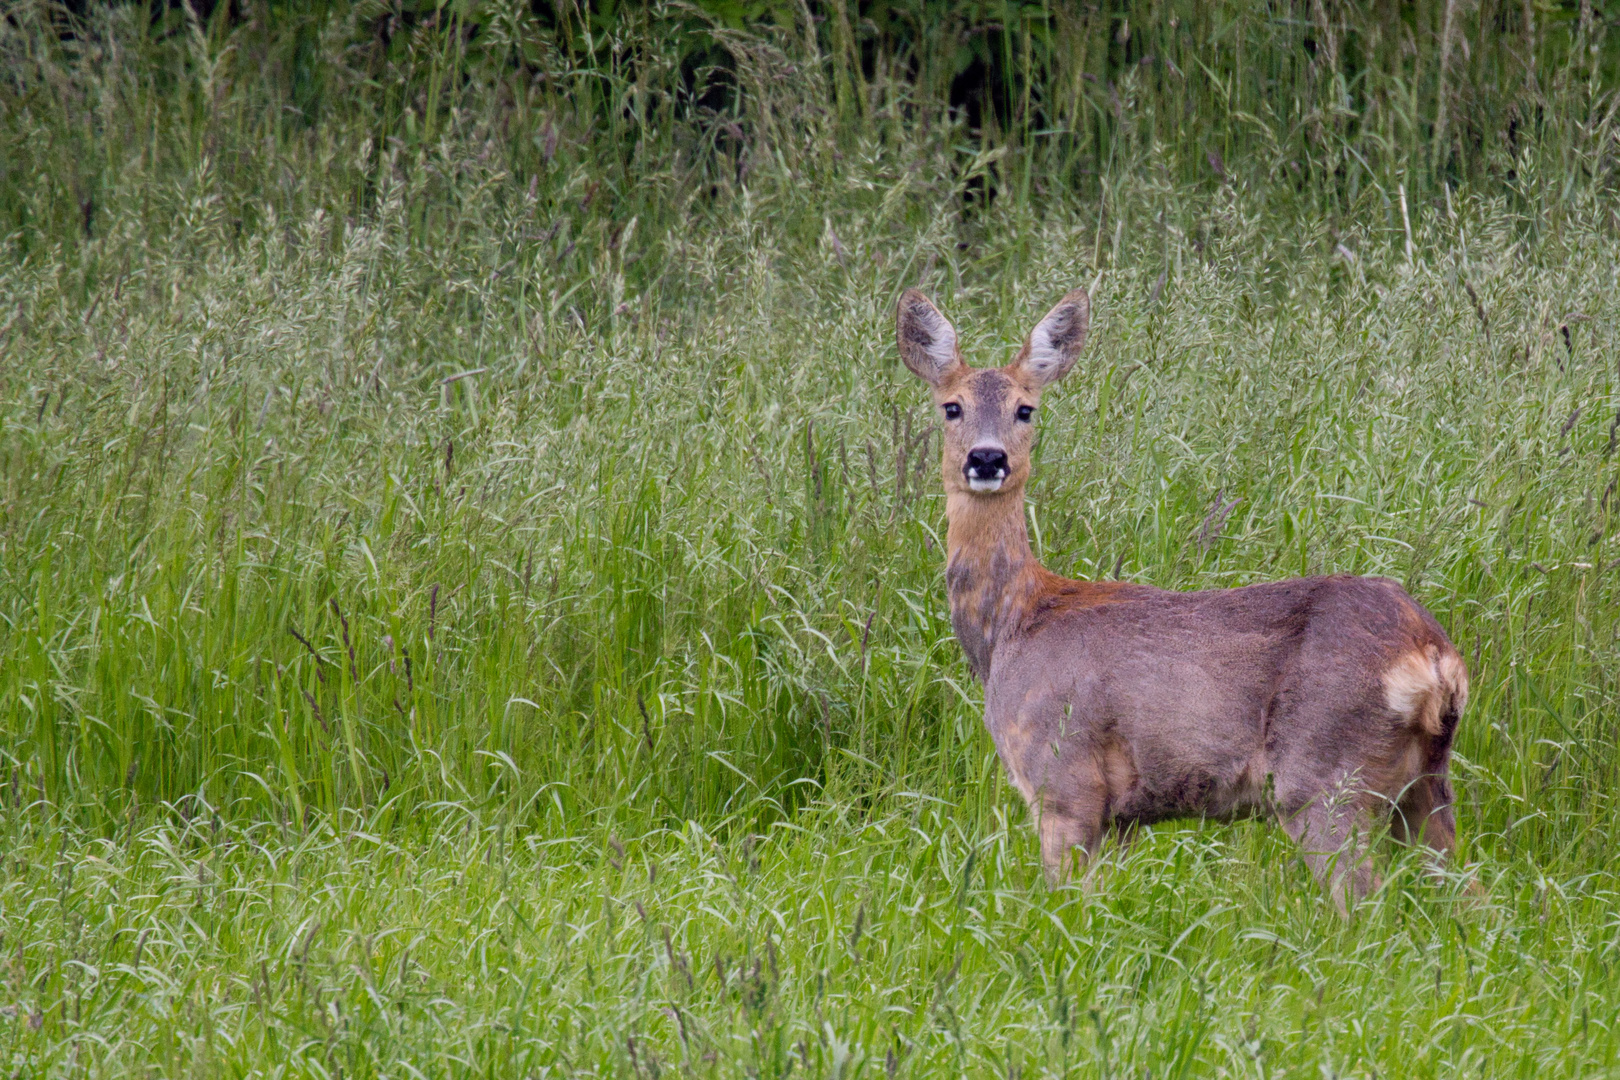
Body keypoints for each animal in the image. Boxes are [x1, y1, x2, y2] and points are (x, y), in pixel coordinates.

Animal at [900, 286, 1470, 913]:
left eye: (1026, 408)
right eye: (950, 406)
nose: (986, 459)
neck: (1013, 623)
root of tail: (1433, 655)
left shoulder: (1063, 778)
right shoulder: (1122, 816)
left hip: (1323, 773)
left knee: (1363, 904)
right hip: (1425, 782)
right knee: (1470, 894)